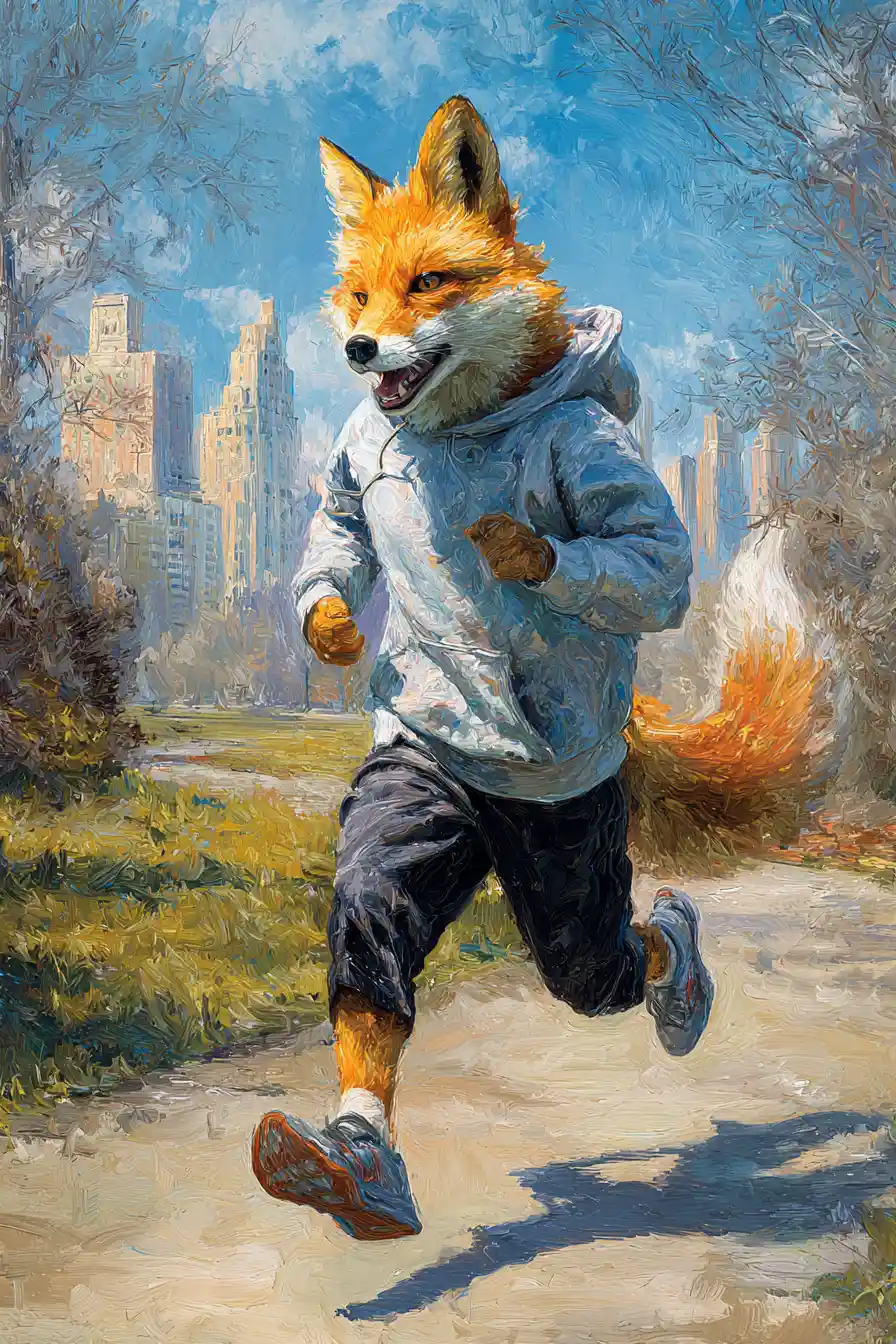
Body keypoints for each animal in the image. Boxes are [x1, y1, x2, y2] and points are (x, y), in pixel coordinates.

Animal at [251, 96, 823, 1241]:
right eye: (360, 293)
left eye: (430, 282)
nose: (358, 347)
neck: (463, 433)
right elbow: (339, 524)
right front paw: (351, 1157)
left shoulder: (601, 462)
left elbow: (648, 558)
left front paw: (525, 551)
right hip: (456, 818)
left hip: (569, 868)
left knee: (616, 951)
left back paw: (682, 967)